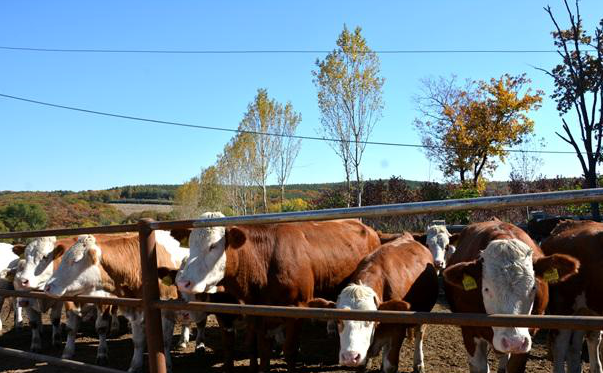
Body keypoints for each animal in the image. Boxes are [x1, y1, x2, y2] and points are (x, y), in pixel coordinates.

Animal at [44, 231, 188, 370]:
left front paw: (167, 365)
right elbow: (138, 341)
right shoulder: (136, 308)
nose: (47, 286)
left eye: (75, 260)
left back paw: (183, 341)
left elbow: (165, 341)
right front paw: (135, 366)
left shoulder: (166, 309)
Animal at [176, 212, 382, 372]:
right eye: (190, 245)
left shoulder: (297, 310)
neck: (266, 262)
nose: (183, 282)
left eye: (212, 246)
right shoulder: (259, 314)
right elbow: (263, 351)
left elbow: (290, 351)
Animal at [310, 235, 436, 372]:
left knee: (419, 334)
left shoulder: (397, 332)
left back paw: (418, 363)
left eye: (371, 319)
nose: (350, 357)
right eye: (338, 320)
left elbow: (389, 366)